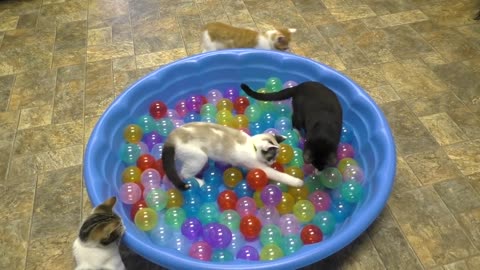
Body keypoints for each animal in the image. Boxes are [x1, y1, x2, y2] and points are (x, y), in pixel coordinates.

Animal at [161, 122, 304, 190]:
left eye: (274, 159)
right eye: (271, 158)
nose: (272, 163)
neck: (252, 145)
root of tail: (171, 138)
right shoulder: (259, 167)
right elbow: (279, 175)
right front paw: (298, 182)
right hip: (200, 158)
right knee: (184, 174)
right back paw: (200, 183)